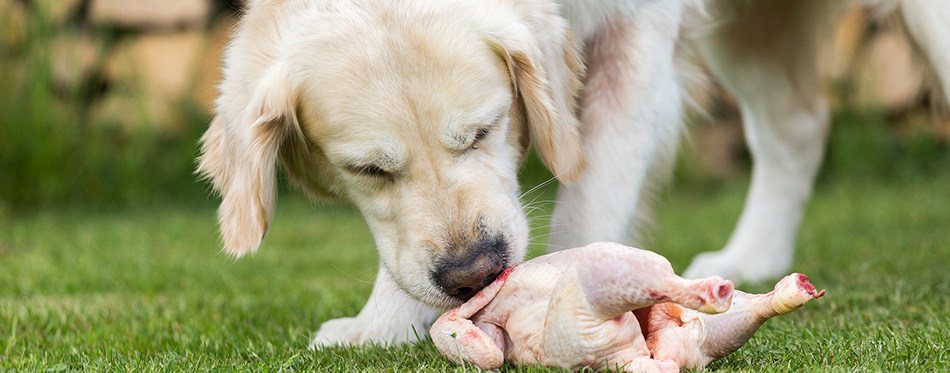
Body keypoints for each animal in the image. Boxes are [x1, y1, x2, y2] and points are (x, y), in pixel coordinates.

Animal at [197, 0, 948, 348]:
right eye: (369, 169)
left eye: (485, 129)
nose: (474, 271)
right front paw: (380, 325)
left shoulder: (636, 37)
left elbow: (592, 201)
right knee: (796, 123)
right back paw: (754, 255)